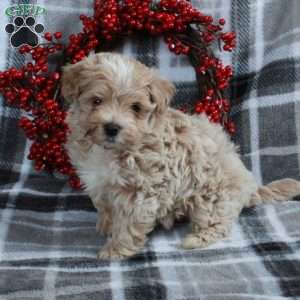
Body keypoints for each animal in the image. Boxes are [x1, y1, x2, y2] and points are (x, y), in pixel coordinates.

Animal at [61, 52, 300, 258]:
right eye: (96, 100)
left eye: (136, 107)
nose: (112, 128)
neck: (111, 151)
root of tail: (249, 187)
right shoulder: (100, 183)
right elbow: (106, 207)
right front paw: (106, 225)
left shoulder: (142, 191)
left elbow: (128, 222)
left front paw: (116, 249)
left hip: (214, 197)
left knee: (219, 222)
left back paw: (196, 239)